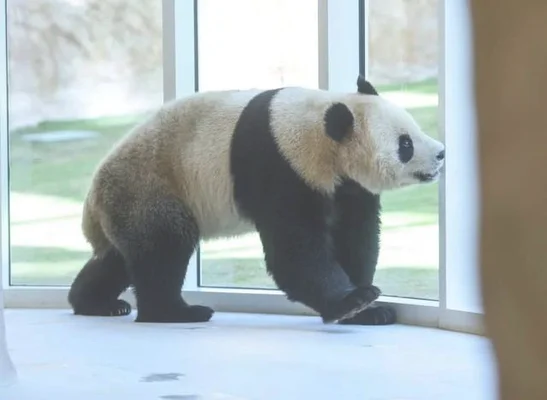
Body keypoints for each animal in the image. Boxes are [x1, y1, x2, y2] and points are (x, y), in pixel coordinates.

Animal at [68, 75, 446, 324]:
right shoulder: (279, 166)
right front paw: (352, 302)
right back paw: (174, 312)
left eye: (414, 129)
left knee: (119, 257)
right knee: (164, 247)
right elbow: (295, 251)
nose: (441, 153)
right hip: (151, 185)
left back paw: (96, 302)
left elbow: (354, 238)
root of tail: (92, 201)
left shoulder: (346, 186)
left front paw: (371, 310)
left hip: (129, 202)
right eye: (405, 144)